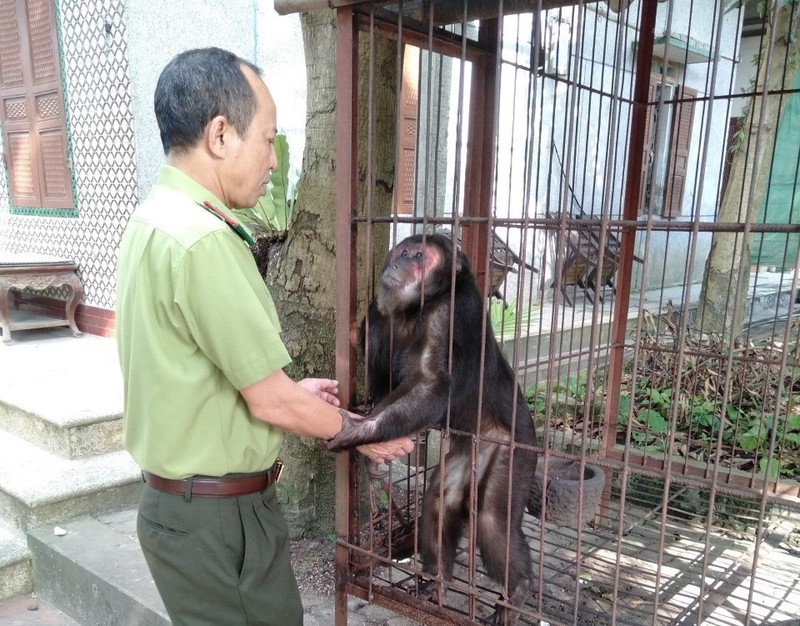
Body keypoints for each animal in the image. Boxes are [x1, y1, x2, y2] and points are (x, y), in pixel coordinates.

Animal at [324, 232, 536, 620]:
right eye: (403, 251)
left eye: (419, 255)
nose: (398, 262)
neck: (418, 307)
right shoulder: (378, 312)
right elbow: (384, 382)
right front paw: (374, 455)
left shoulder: (451, 311)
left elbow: (432, 384)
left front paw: (359, 431)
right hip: (467, 453)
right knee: (439, 499)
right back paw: (436, 582)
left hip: (515, 448)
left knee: (492, 519)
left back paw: (518, 590)